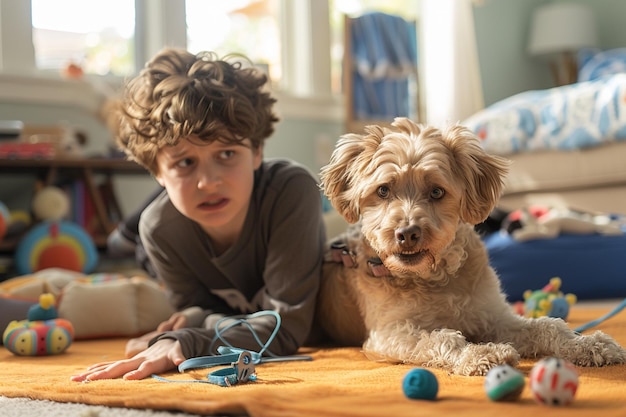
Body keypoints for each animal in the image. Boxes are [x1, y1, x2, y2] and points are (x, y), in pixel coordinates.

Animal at [316, 116, 624, 374]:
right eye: (382, 190)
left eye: (436, 192)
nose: (407, 233)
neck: (434, 278)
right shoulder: (391, 333)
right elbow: (442, 338)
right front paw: (480, 354)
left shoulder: (496, 317)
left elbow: (549, 326)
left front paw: (589, 344)